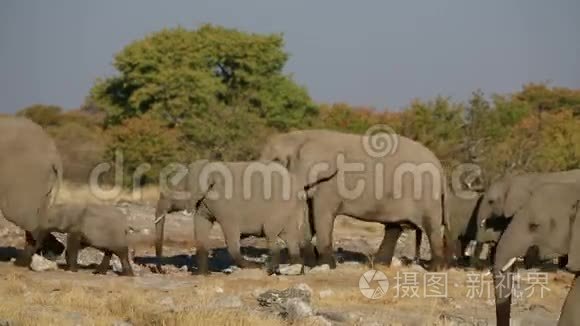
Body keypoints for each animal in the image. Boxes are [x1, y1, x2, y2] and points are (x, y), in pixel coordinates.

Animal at [260, 129, 450, 270]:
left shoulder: (330, 184)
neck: (300, 138)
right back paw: (378, 265)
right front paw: (310, 264)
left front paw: (325, 266)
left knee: (430, 228)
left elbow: (321, 216)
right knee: (393, 227)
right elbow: (309, 217)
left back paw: (435, 269)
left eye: (276, 161)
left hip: (426, 195)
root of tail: (440, 168)